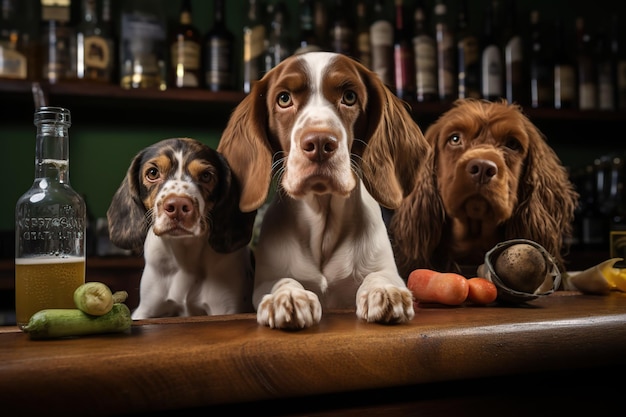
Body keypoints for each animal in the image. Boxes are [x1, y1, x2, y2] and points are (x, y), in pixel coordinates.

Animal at [107, 138, 254, 316]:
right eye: (153, 173)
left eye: (206, 176)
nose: (177, 205)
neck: (184, 254)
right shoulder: (145, 310)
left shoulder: (226, 309)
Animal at [216, 51, 428, 328]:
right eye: (284, 99)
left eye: (349, 97)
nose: (319, 143)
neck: (323, 226)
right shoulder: (264, 281)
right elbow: (282, 281)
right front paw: (288, 297)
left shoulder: (387, 270)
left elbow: (379, 276)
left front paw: (383, 291)